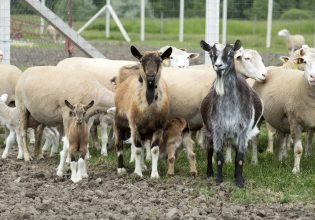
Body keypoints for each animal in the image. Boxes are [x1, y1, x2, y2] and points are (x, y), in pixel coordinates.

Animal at [114, 45, 173, 178]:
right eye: (142, 61)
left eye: (160, 61)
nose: (151, 76)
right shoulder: (134, 125)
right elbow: (137, 150)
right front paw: (137, 173)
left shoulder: (158, 127)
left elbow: (154, 150)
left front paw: (154, 174)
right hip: (118, 121)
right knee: (119, 145)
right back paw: (121, 168)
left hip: (145, 131)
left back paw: (143, 166)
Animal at [200, 40, 264, 187]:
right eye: (211, 54)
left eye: (230, 54)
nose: (218, 66)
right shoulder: (217, 129)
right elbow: (218, 156)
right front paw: (218, 179)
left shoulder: (243, 131)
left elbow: (239, 158)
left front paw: (239, 181)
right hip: (208, 130)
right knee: (209, 150)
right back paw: (209, 173)